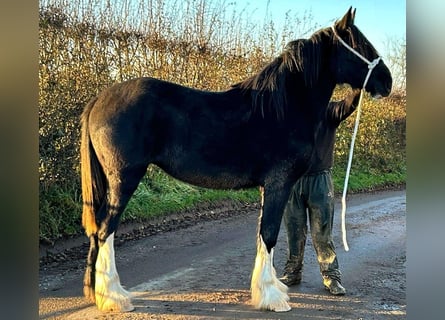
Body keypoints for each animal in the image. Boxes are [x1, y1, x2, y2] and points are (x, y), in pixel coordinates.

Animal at [80, 8, 392, 312]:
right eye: (359, 44)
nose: (387, 81)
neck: (284, 106)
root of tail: (98, 100)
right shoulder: (279, 183)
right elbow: (269, 234)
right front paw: (273, 298)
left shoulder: (270, 186)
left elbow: (262, 234)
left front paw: (267, 289)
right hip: (124, 179)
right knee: (105, 230)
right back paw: (115, 298)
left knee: (97, 230)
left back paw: (97, 293)